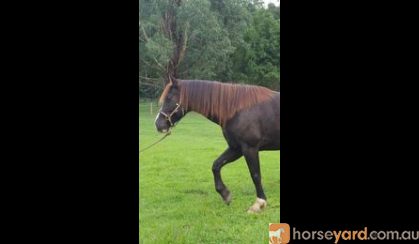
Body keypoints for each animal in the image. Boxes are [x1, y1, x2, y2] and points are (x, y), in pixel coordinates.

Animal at [154, 78, 278, 212]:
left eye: (169, 98)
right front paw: (225, 194)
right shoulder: (236, 148)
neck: (238, 110)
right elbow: (216, 165)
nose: (158, 124)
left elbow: (255, 175)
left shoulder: (250, 148)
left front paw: (259, 203)